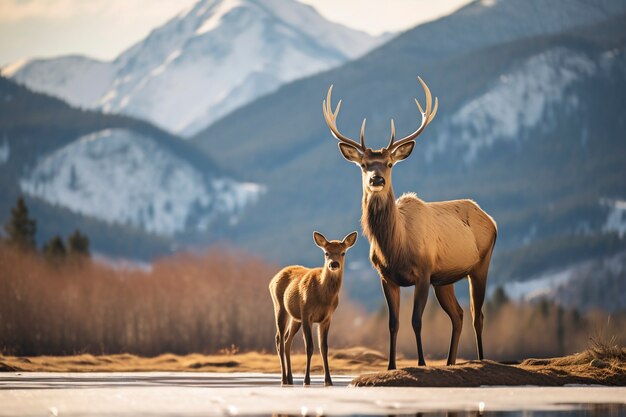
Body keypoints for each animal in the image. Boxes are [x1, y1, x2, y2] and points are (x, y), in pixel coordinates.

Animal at [266, 229, 356, 386]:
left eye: (343, 252)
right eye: (326, 253)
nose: (334, 264)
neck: (322, 297)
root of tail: (273, 279)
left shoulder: (326, 318)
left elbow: (324, 348)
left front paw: (328, 381)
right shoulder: (307, 313)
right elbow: (309, 347)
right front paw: (306, 380)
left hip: (296, 318)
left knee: (287, 340)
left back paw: (290, 378)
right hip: (280, 307)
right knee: (279, 339)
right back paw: (284, 379)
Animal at [324, 76, 494, 366]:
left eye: (390, 163)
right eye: (364, 164)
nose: (377, 179)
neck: (395, 247)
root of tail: (490, 218)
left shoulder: (424, 272)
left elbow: (416, 321)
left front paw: (422, 363)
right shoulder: (386, 277)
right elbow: (393, 323)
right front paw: (392, 365)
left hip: (481, 264)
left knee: (477, 314)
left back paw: (481, 360)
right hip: (445, 279)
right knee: (458, 315)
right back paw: (449, 363)